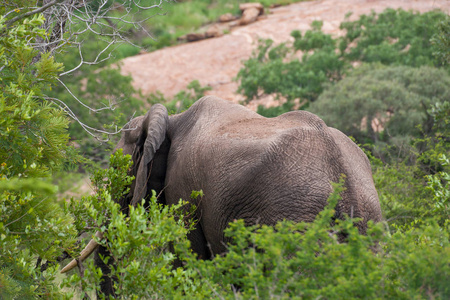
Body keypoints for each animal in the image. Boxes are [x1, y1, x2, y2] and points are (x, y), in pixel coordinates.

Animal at [61, 95, 382, 296]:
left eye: (119, 171)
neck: (173, 119)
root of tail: (342, 175)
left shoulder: (183, 186)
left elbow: (187, 256)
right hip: (366, 217)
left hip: (297, 219)